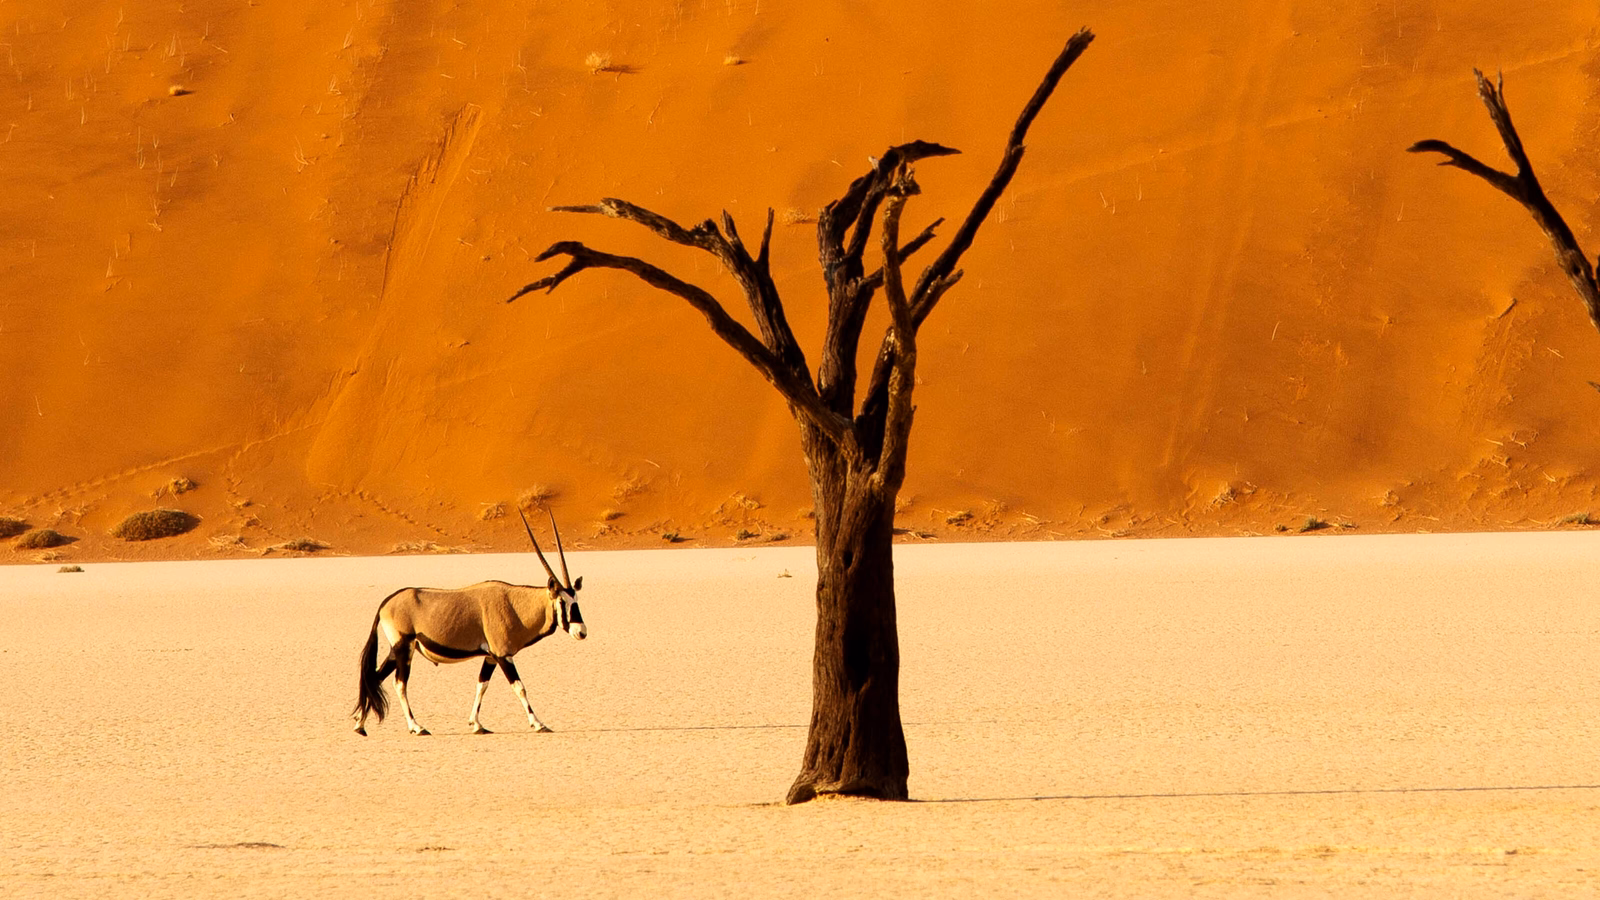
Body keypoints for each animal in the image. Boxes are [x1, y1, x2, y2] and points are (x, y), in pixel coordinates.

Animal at [352, 510, 586, 736]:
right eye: (562, 601)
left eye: (576, 600)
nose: (581, 632)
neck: (515, 604)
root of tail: (385, 603)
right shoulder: (503, 655)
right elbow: (519, 687)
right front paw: (538, 724)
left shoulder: (491, 657)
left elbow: (481, 685)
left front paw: (476, 724)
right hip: (404, 648)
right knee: (399, 683)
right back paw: (416, 727)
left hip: (396, 650)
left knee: (375, 678)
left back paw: (360, 726)